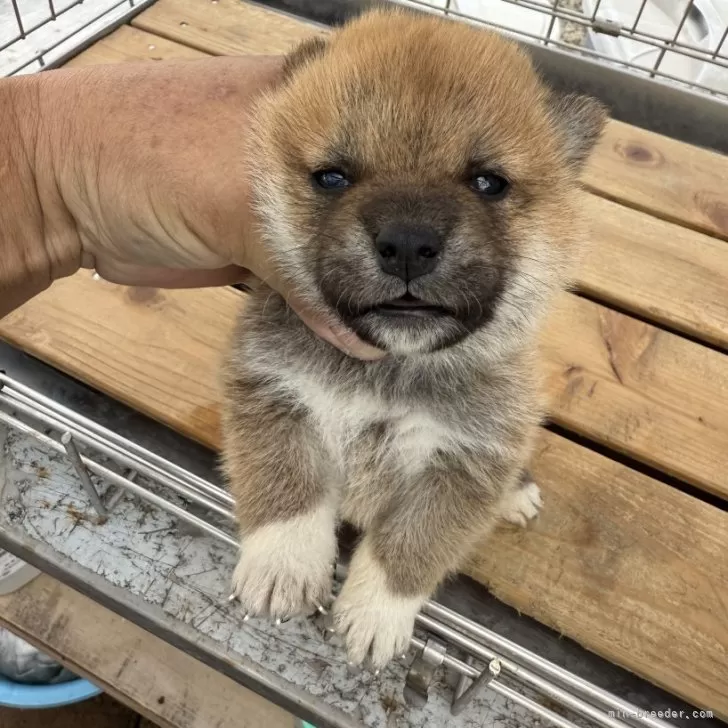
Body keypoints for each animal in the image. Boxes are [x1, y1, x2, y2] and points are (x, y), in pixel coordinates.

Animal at [220, 5, 604, 668]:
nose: (406, 242)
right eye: (332, 177)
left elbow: (409, 549)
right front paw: (282, 566)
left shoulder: (461, 462)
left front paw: (374, 616)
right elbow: (288, 492)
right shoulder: (275, 396)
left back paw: (517, 494)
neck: (388, 370)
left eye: (488, 183)